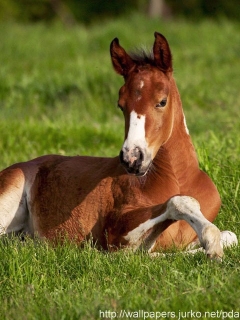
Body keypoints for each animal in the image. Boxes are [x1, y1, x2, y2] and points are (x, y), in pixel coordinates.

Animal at [0, 31, 236, 258]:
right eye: (121, 105)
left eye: (162, 101)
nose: (132, 158)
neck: (178, 179)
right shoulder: (115, 233)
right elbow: (175, 205)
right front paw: (211, 244)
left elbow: (231, 236)